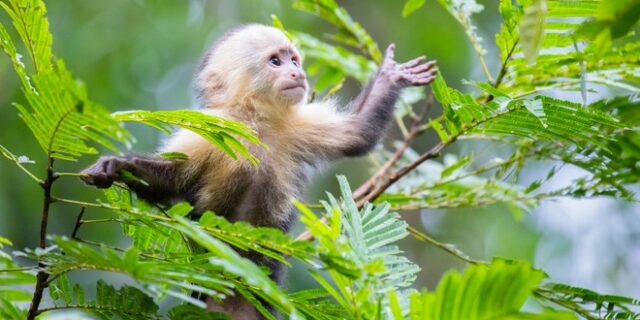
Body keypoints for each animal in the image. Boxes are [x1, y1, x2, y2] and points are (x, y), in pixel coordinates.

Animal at [80, 23, 438, 318]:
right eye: (276, 62)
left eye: (294, 60)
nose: (297, 73)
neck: (257, 122)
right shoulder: (213, 131)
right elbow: (172, 181)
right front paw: (117, 166)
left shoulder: (295, 126)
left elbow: (357, 135)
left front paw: (390, 75)